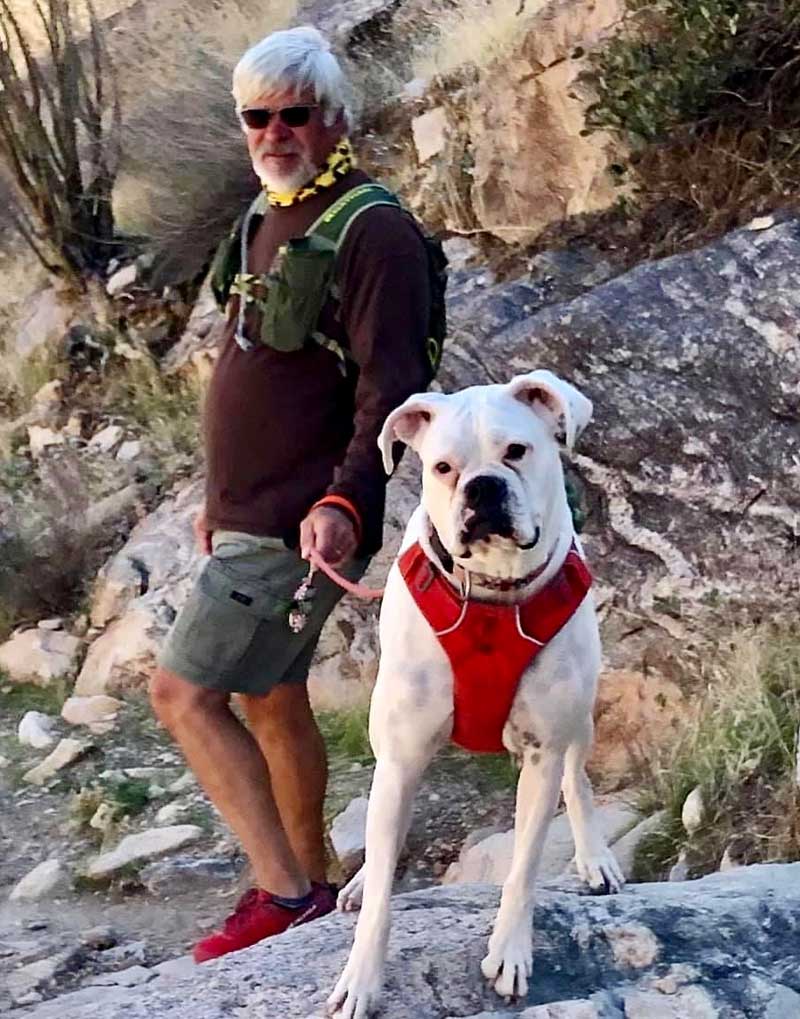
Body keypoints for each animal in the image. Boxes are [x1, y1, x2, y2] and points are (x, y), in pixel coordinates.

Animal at [326, 368, 623, 1019]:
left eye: (517, 451)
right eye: (442, 467)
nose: (484, 488)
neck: (490, 596)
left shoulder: (542, 751)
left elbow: (525, 864)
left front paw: (510, 951)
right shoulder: (402, 755)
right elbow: (383, 886)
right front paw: (360, 978)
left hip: (579, 720)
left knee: (578, 781)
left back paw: (595, 857)